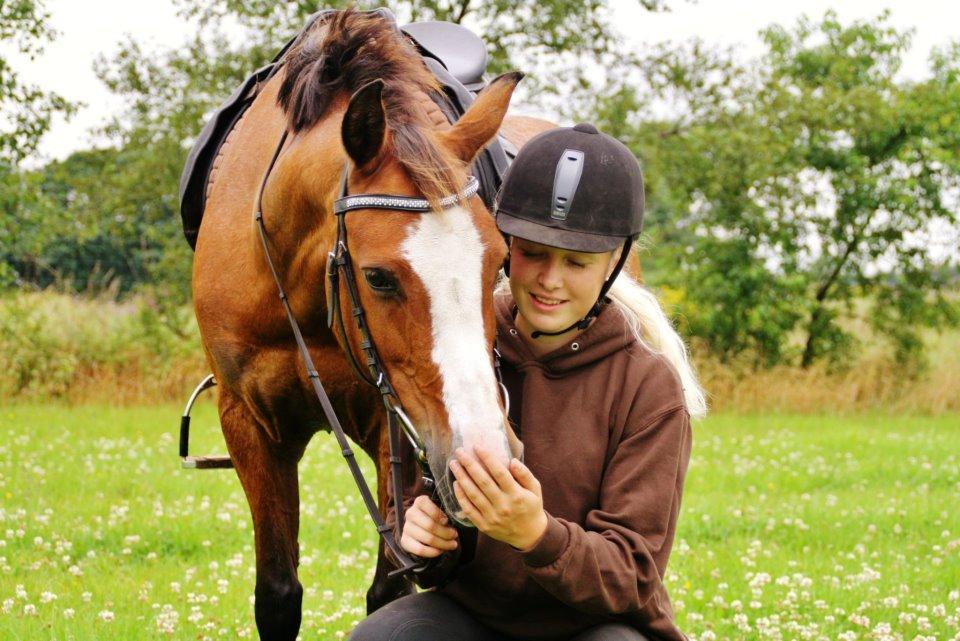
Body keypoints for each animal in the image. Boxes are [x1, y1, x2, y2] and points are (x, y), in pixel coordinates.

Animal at [191, 10, 552, 640]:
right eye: (379, 277)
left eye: (498, 263)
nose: (487, 456)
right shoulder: (248, 423)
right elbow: (277, 595)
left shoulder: (396, 427)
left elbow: (388, 590)